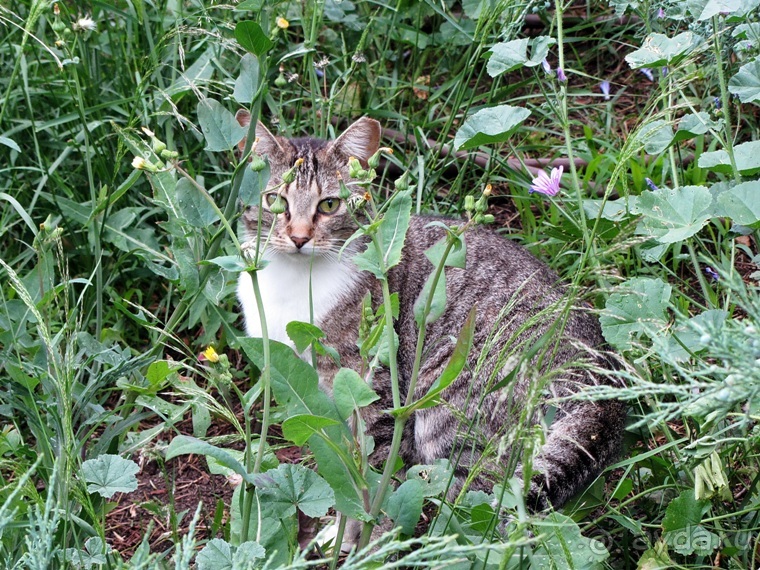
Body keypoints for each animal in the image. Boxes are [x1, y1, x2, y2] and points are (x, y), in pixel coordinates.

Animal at [236, 113, 624, 512]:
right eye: (274, 200)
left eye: (329, 205)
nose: (299, 237)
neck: (294, 282)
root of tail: (603, 389)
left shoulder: (373, 386)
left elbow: (374, 469)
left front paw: (360, 523)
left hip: (450, 396)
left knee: (472, 496)